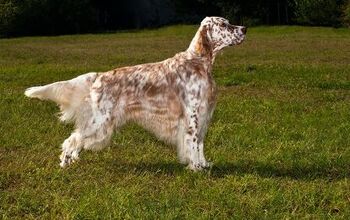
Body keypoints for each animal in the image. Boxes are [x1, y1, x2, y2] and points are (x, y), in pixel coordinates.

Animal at [24, 17, 246, 172]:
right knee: (71, 140)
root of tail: (99, 76)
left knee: (77, 139)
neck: (198, 61)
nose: (244, 29)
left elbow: (199, 144)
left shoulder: (203, 115)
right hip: (100, 121)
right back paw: (64, 165)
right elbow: (192, 143)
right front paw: (196, 169)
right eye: (224, 25)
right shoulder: (192, 116)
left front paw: (204, 165)